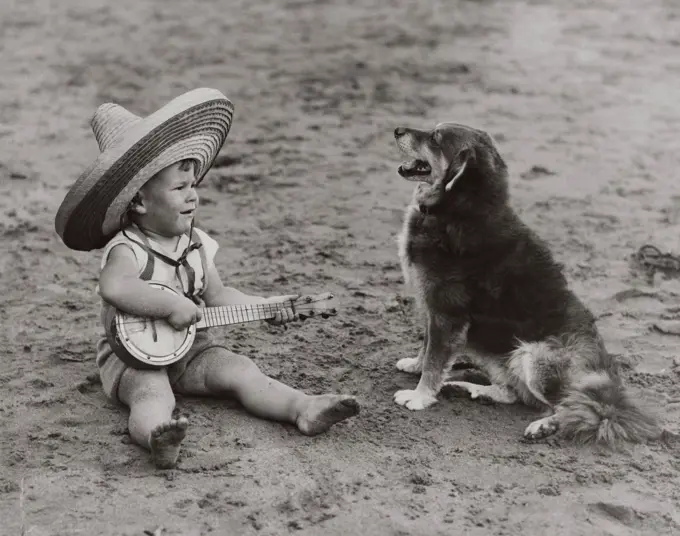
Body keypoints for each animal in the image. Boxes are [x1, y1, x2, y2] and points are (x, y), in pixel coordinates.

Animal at [394, 121, 660, 444]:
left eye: (436, 138)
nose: (397, 130)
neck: (456, 207)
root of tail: (608, 383)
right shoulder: (433, 310)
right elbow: (427, 348)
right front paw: (415, 365)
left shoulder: (447, 315)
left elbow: (435, 361)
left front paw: (419, 396)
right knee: (514, 394)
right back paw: (473, 389)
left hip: (534, 356)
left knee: (572, 407)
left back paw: (544, 425)